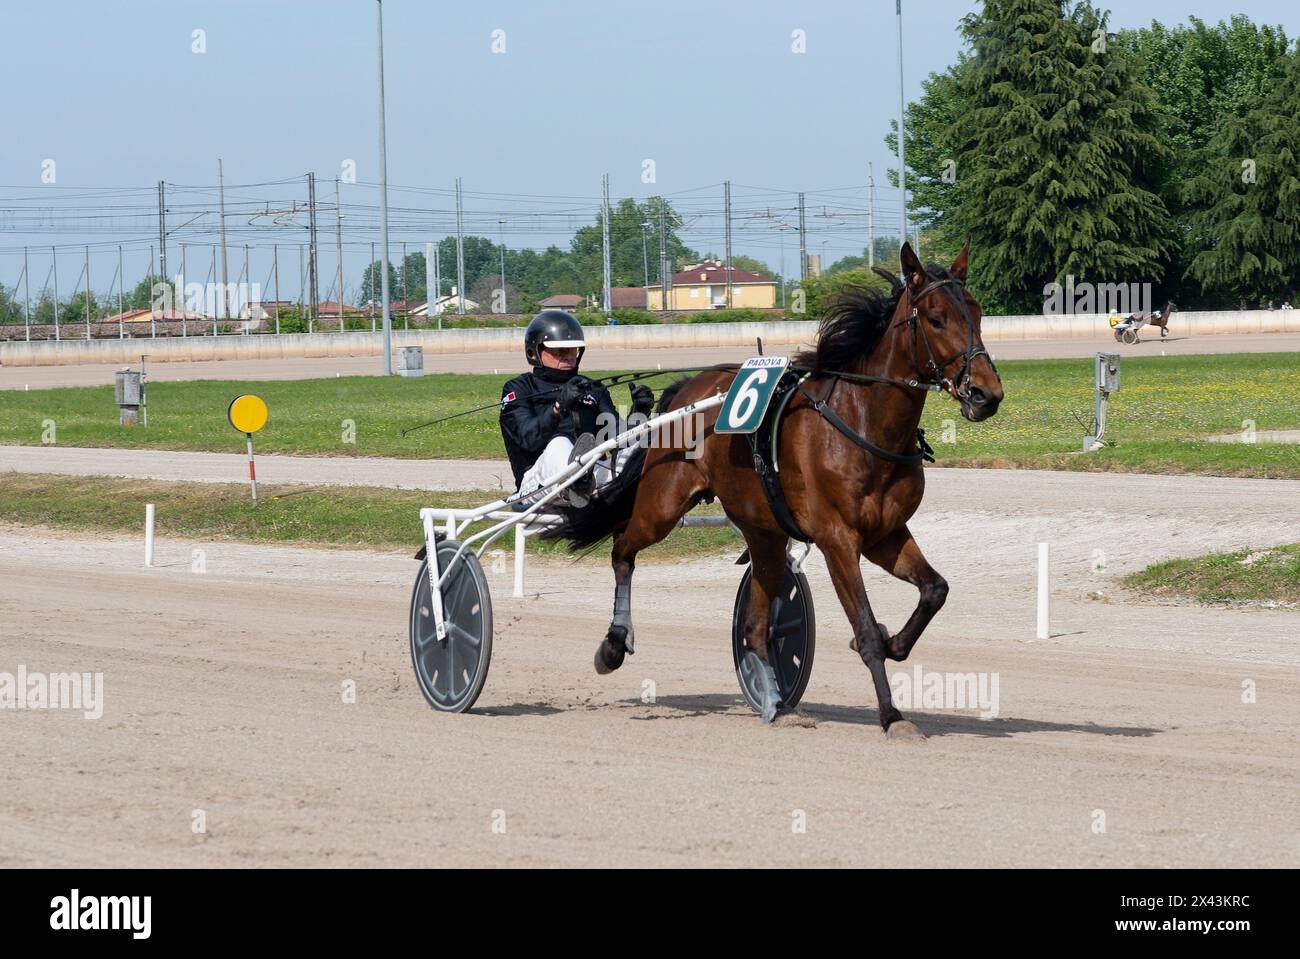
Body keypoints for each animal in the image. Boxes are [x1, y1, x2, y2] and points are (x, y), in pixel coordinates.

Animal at [548, 242, 1003, 738]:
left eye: (976, 313)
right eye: (936, 318)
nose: (986, 393)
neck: (861, 421)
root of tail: (687, 389)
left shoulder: (885, 534)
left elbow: (934, 590)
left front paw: (894, 642)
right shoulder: (838, 539)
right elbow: (863, 627)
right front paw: (892, 715)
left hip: (763, 532)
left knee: (754, 625)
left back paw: (772, 699)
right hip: (662, 504)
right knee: (623, 548)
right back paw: (612, 645)